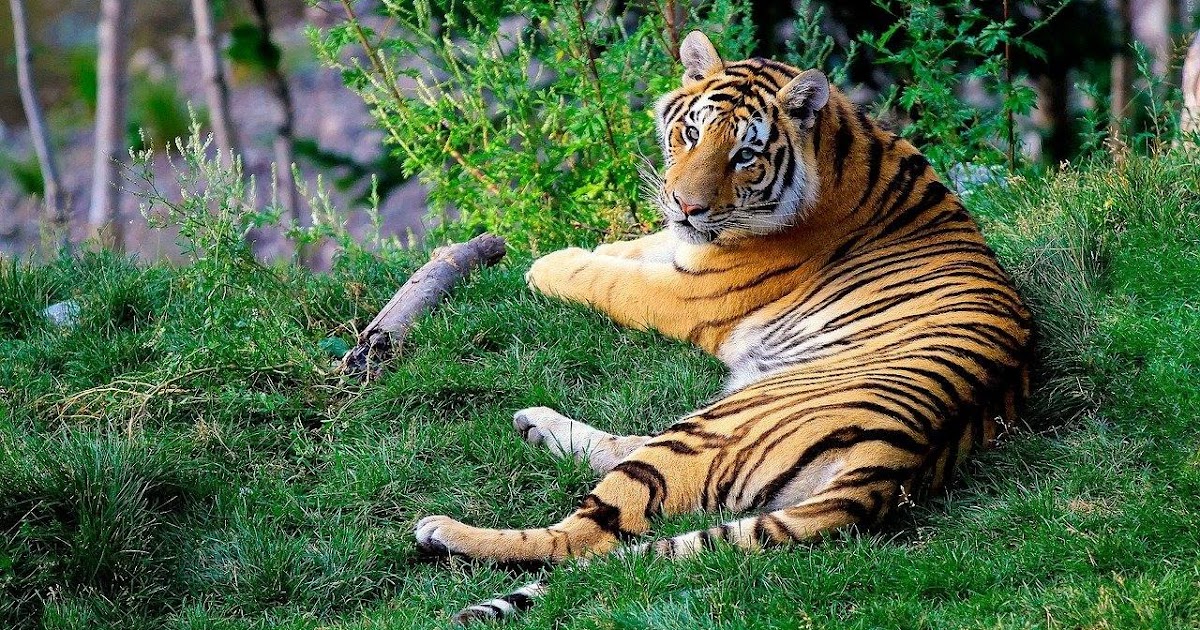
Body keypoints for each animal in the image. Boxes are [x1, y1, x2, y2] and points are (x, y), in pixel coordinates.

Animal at [414, 30, 1033, 624]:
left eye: (744, 156)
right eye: (690, 133)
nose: (686, 206)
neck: (840, 148)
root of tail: (895, 465)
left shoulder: (686, 293)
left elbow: (607, 279)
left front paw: (547, 264)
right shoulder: (683, 249)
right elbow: (634, 248)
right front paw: (592, 247)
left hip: (713, 426)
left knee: (584, 537)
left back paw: (444, 530)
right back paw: (535, 424)